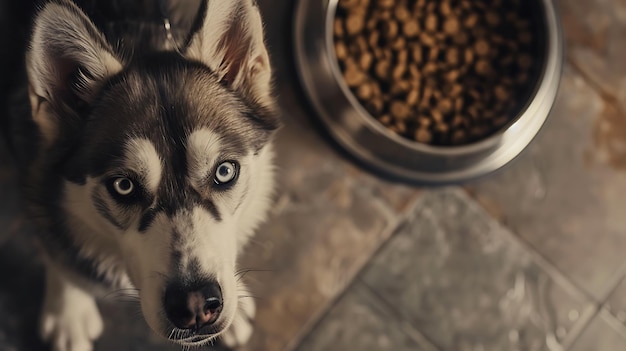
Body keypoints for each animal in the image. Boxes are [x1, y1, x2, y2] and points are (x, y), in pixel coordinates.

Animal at [5, 0, 278, 350]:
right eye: (123, 185)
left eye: (224, 171)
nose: (195, 306)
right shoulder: (31, 161)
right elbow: (56, 251)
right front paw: (69, 312)